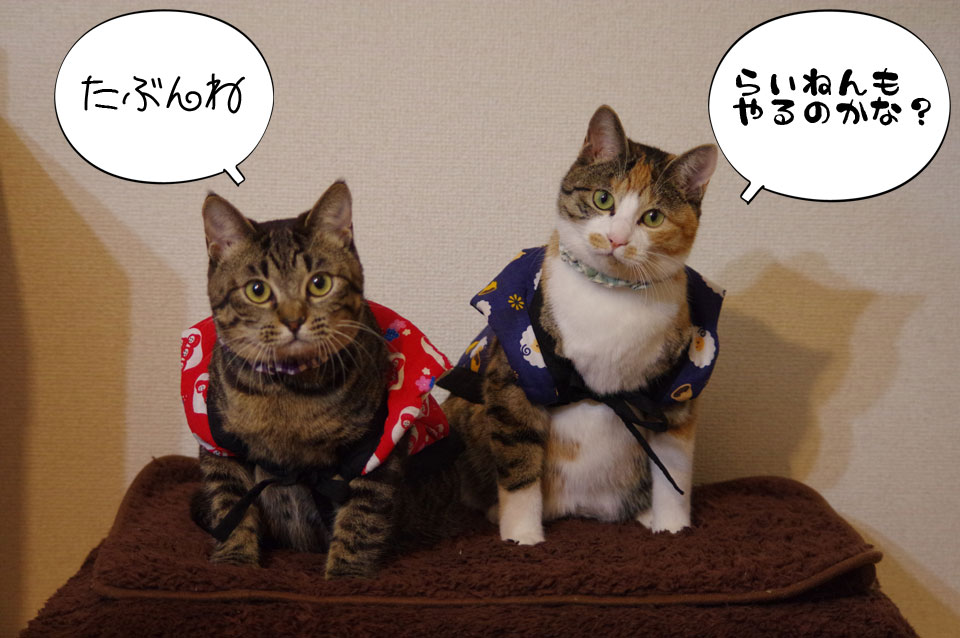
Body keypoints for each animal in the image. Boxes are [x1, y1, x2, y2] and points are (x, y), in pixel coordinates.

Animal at [189, 181, 462, 577]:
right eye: (257, 290)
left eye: (319, 284)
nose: (293, 319)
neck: (288, 391)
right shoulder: (220, 446)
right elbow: (231, 508)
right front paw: (234, 565)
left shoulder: (373, 446)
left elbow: (360, 522)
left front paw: (345, 578)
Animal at [439, 105, 722, 545]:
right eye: (602, 198)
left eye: (653, 217)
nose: (617, 239)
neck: (611, 294)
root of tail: (582, 510)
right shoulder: (517, 370)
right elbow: (519, 460)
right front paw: (522, 538)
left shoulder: (680, 384)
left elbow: (674, 469)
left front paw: (673, 528)